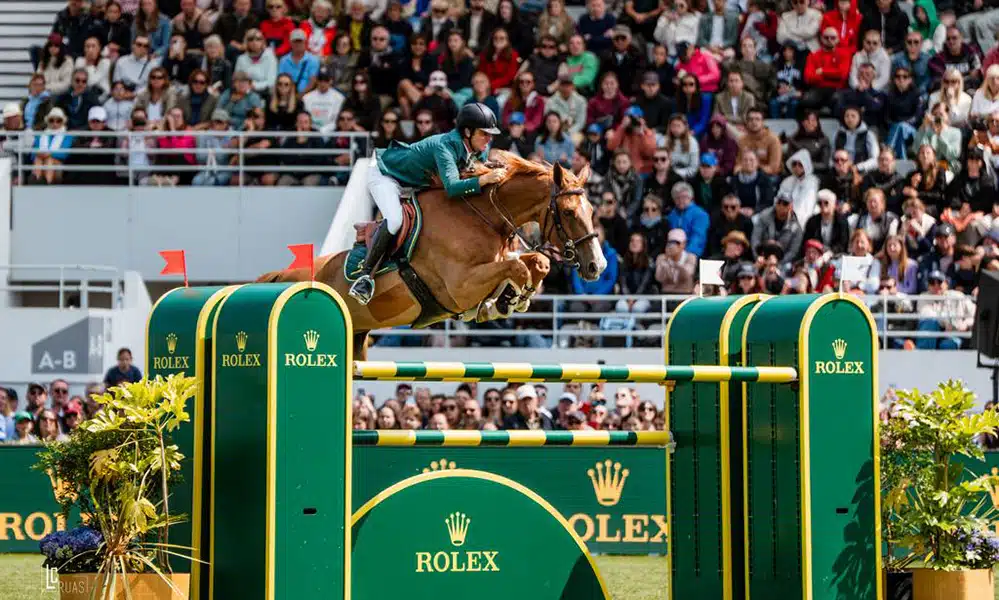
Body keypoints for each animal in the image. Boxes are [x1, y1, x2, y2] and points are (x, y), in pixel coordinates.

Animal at [257, 151, 606, 358]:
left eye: (592, 210)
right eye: (568, 211)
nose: (597, 266)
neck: (484, 217)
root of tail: (280, 276)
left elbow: (536, 262)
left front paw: (504, 302)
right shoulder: (460, 286)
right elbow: (518, 267)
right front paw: (512, 300)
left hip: (356, 339)